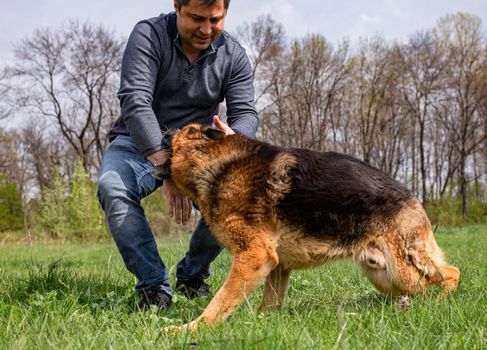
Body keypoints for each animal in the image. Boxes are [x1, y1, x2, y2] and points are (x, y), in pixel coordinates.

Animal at [156, 124, 462, 332]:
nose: (165, 130)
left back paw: (438, 302)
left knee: (450, 273)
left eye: (184, 131)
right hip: (385, 275)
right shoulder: (277, 265)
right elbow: (268, 303)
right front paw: (261, 322)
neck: (217, 162)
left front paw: (189, 330)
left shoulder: (254, 256)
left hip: (401, 268)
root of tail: (411, 195)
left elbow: (220, 301)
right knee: (433, 279)